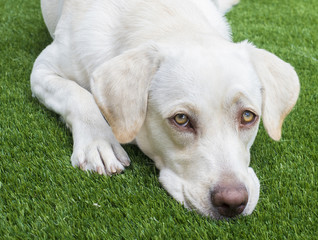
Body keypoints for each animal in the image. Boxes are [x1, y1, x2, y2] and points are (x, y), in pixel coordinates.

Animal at [31, 0, 300, 218]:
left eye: (247, 116)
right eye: (181, 119)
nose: (233, 202)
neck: (167, 17)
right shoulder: (42, 69)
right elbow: (78, 95)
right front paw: (98, 143)